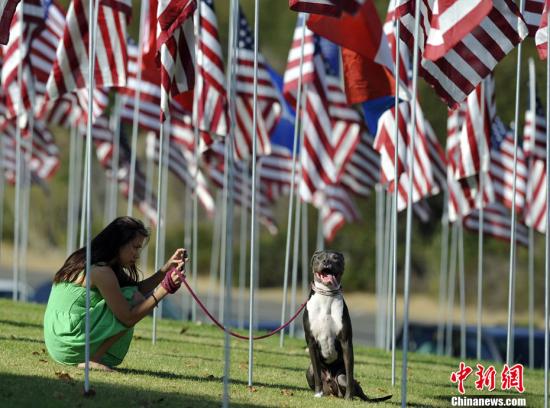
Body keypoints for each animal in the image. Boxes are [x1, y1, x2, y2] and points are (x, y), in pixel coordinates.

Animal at [306, 249, 392, 402]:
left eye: (335, 258)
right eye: (319, 257)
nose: (326, 262)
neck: (326, 296)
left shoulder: (346, 342)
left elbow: (350, 371)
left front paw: (349, 397)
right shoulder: (311, 342)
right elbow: (316, 373)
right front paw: (317, 394)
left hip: (341, 378)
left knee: (349, 381)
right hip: (309, 371)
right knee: (313, 372)